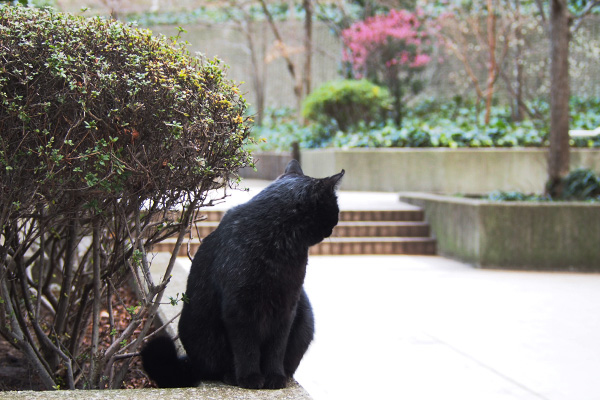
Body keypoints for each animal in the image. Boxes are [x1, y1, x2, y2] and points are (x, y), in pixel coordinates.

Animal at [141, 160, 344, 390]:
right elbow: (247, 348)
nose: (334, 226)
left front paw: (274, 377)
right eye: (334, 210)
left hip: (304, 315)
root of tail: (191, 365)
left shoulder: (286, 308)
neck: (279, 243)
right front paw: (250, 378)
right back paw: (231, 376)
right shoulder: (239, 310)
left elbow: (276, 348)